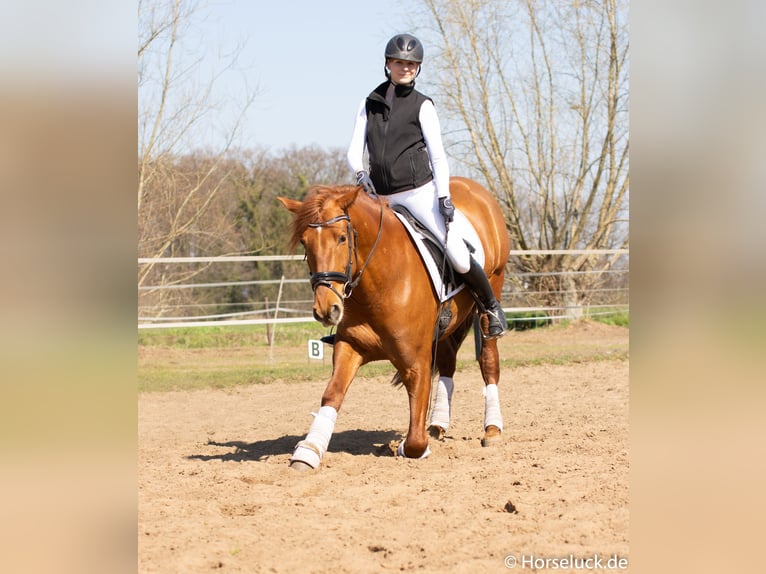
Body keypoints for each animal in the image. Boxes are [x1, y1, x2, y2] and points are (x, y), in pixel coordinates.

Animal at [277, 176, 511, 470]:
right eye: (305, 243)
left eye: (342, 238)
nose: (326, 310)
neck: (380, 282)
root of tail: (473, 187)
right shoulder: (350, 346)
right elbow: (332, 393)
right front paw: (308, 451)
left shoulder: (417, 363)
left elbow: (414, 441)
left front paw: (407, 447)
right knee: (448, 363)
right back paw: (437, 425)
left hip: (491, 289)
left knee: (488, 360)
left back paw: (492, 429)